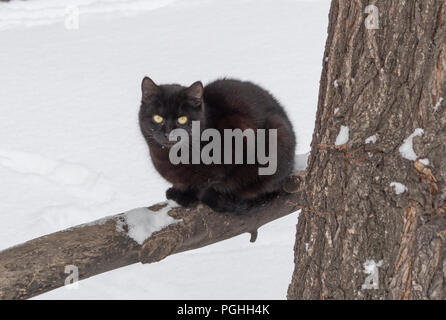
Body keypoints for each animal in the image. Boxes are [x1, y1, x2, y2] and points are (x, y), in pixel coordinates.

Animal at [138, 76, 294, 214]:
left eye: (182, 119)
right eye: (158, 118)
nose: (169, 132)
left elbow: (209, 181)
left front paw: (187, 195)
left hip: (277, 135)